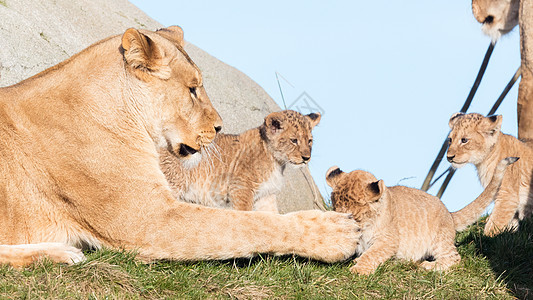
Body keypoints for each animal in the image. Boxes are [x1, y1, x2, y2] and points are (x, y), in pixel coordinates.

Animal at [0, 26, 360, 268]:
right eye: (192, 89)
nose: (219, 126)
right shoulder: (148, 220)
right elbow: (243, 224)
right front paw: (336, 231)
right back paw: (60, 253)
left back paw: (60, 252)